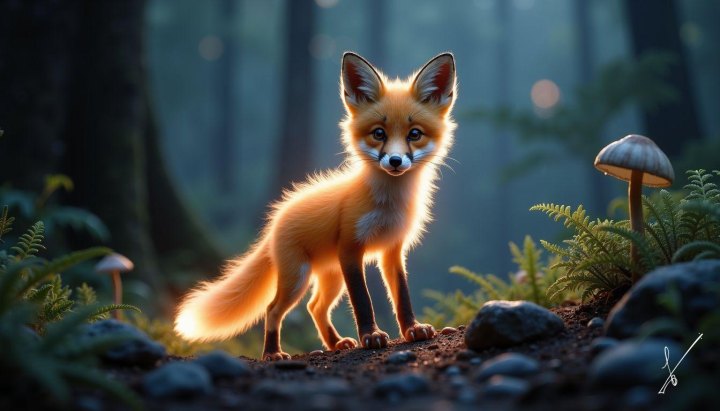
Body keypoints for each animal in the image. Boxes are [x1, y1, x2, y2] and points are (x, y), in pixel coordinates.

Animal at [175, 52, 457, 360]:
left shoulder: (392, 251)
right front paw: (370, 336)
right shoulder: (350, 248)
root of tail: (276, 220)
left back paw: (334, 343)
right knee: (273, 309)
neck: (387, 203)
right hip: (298, 277)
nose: (395, 161)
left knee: (315, 307)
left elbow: (402, 296)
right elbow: (362, 300)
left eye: (414, 134)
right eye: (379, 133)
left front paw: (412, 329)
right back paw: (273, 353)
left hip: (331, 277)